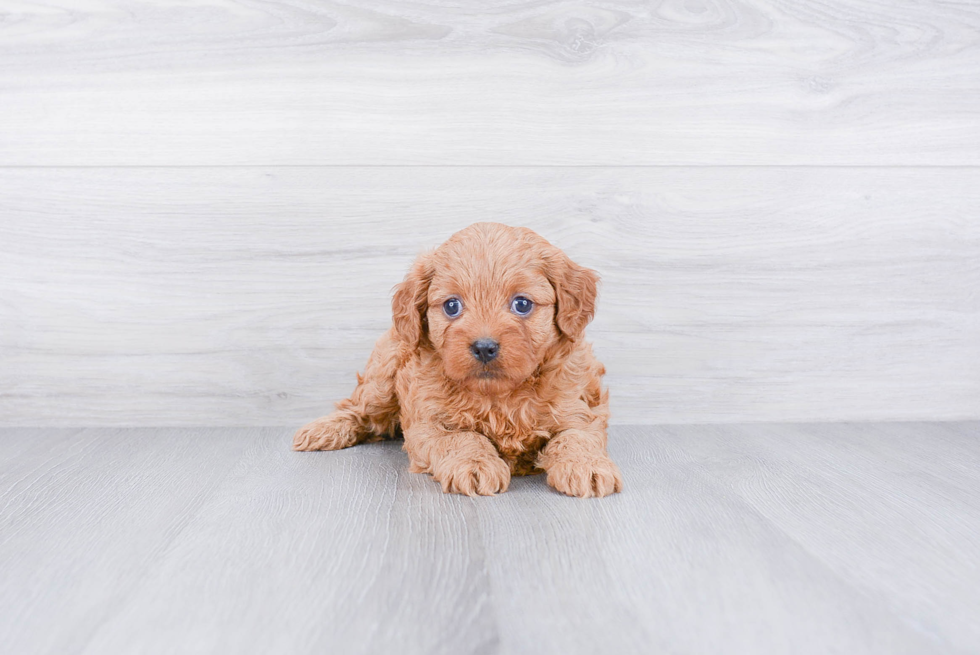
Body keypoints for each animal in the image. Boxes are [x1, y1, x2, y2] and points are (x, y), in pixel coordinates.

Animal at [290, 223, 620, 500]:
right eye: (452, 306)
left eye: (522, 304)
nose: (484, 347)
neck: (499, 395)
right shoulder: (429, 423)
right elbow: (463, 438)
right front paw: (475, 465)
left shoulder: (579, 407)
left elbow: (575, 436)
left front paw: (587, 466)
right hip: (382, 377)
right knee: (357, 408)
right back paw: (322, 431)